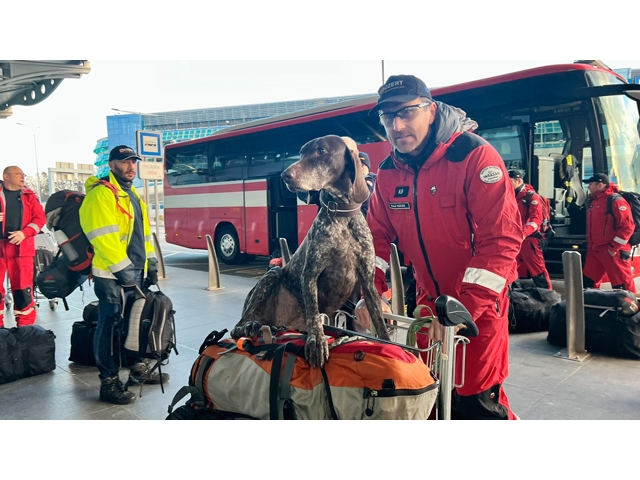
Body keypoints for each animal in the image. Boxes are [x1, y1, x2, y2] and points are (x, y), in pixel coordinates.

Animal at [230, 135, 390, 368]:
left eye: (321, 151)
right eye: (301, 152)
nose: (285, 176)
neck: (341, 215)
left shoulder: (367, 282)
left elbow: (379, 319)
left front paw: (388, 342)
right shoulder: (310, 274)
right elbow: (314, 314)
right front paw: (317, 341)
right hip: (272, 275)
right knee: (238, 326)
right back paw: (252, 326)